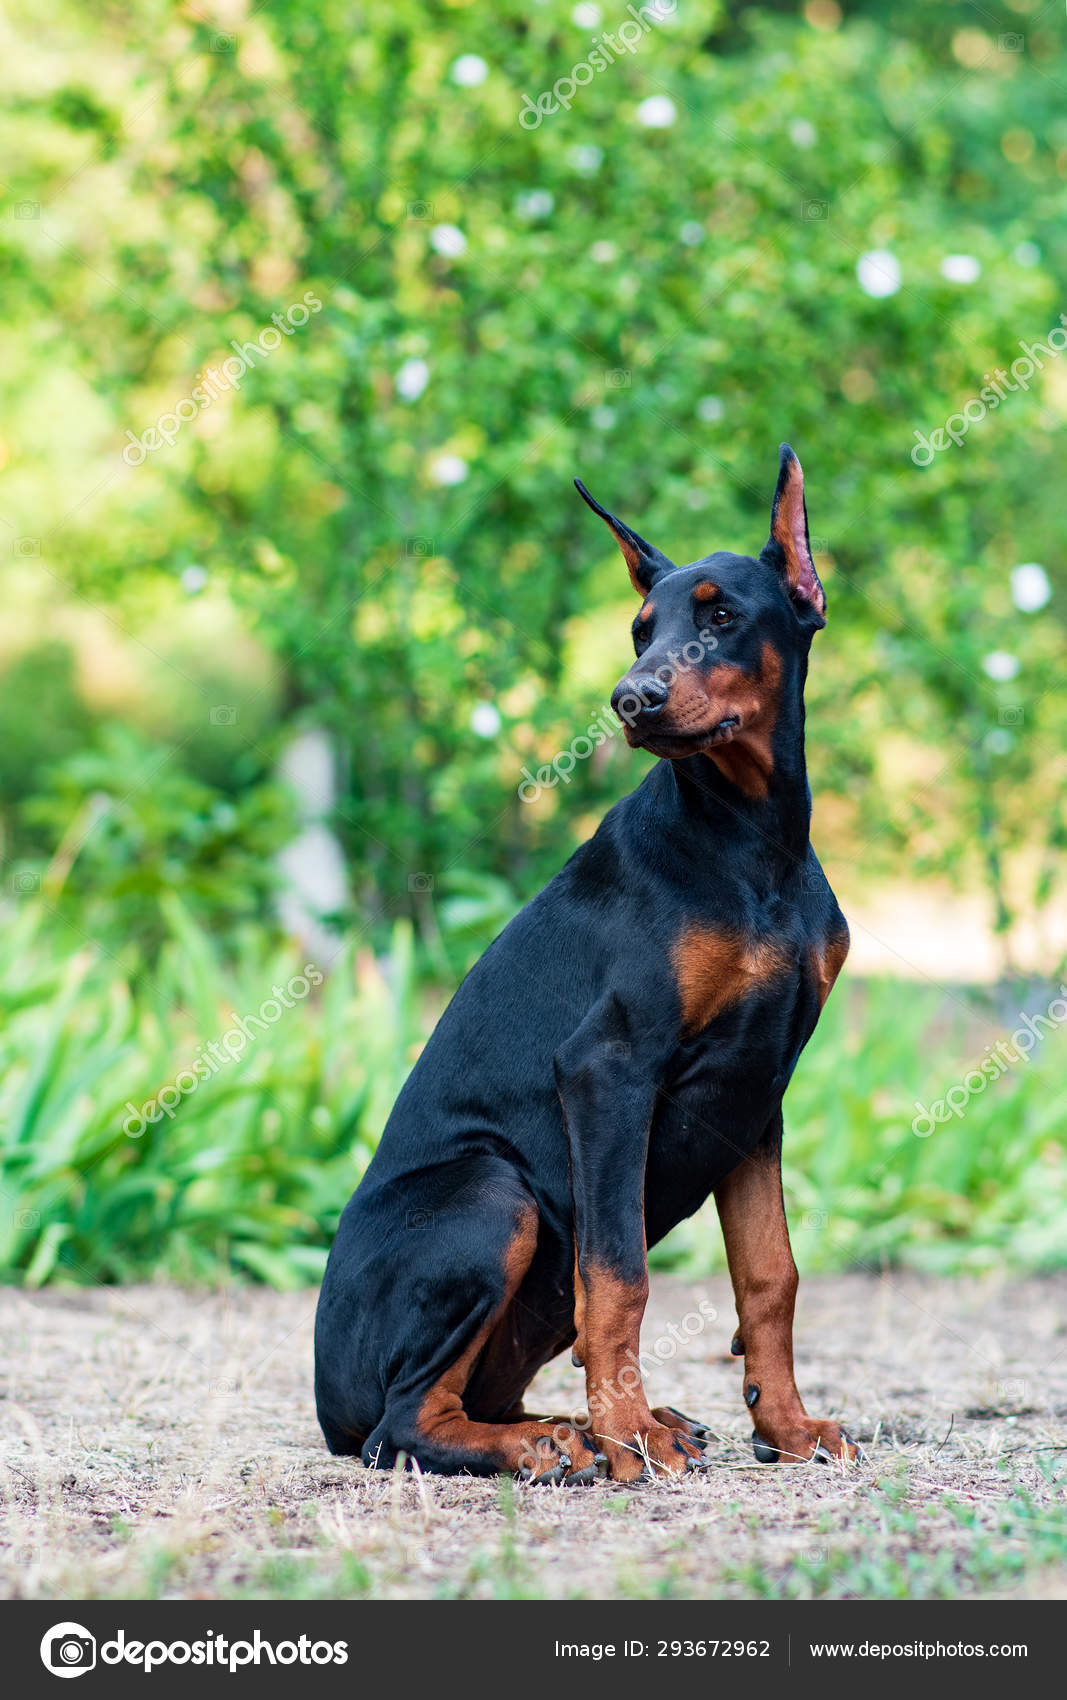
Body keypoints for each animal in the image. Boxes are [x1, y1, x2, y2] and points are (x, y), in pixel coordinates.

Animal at [316, 445, 859, 1482]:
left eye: (720, 616)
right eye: (642, 629)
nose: (631, 698)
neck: (749, 845)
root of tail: (324, 1401)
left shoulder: (755, 1092)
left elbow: (769, 1274)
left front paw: (785, 1428)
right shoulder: (607, 1069)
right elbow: (616, 1275)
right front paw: (628, 1438)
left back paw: (570, 1427)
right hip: (494, 1192)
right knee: (398, 1426)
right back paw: (559, 1443)